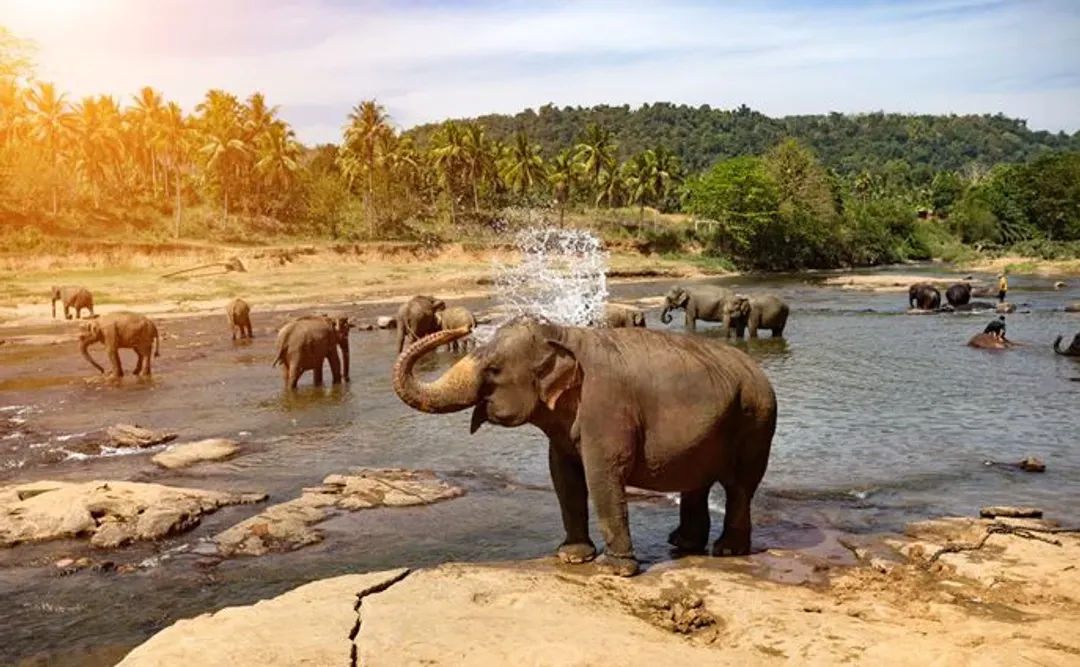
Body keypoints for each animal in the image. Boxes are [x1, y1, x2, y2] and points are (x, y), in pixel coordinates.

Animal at [391, 317, 777, 577]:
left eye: (494, 370)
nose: (463, 329)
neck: (562, 334)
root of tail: (758, 370)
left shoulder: (606, 407)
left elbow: (602, 475)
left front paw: (615, 570)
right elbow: (563, 476)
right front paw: (573, 557)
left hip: (756, 420)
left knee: (739, 486)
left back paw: (726, 550)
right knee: (698, 483)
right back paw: (682, 544)